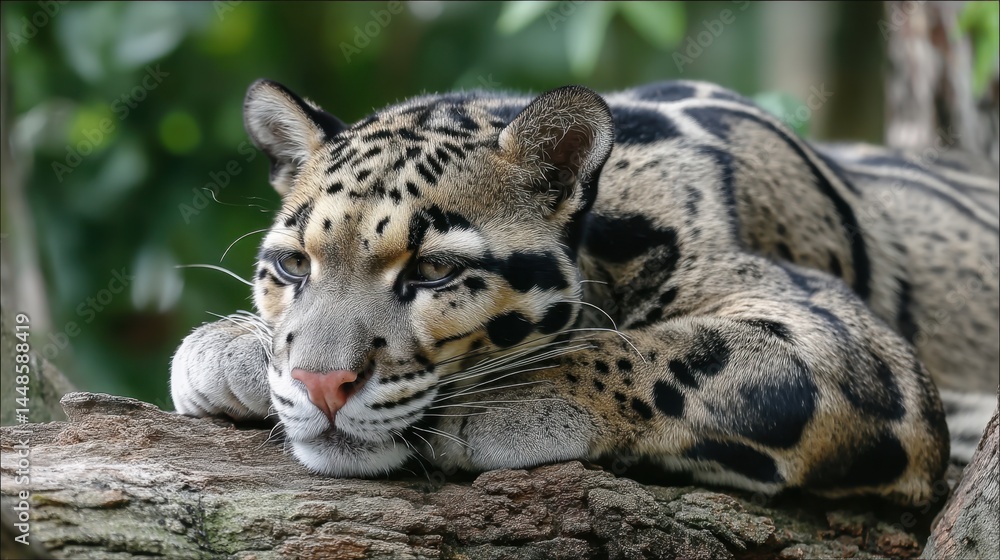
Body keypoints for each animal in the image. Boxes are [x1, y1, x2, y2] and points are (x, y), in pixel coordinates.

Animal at [170, 79, 999, 505]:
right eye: (292, 268)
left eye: (434, 272)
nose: (321, 384)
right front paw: (235, 348)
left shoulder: (855, 346)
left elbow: (677, 351)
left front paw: (510, 400)